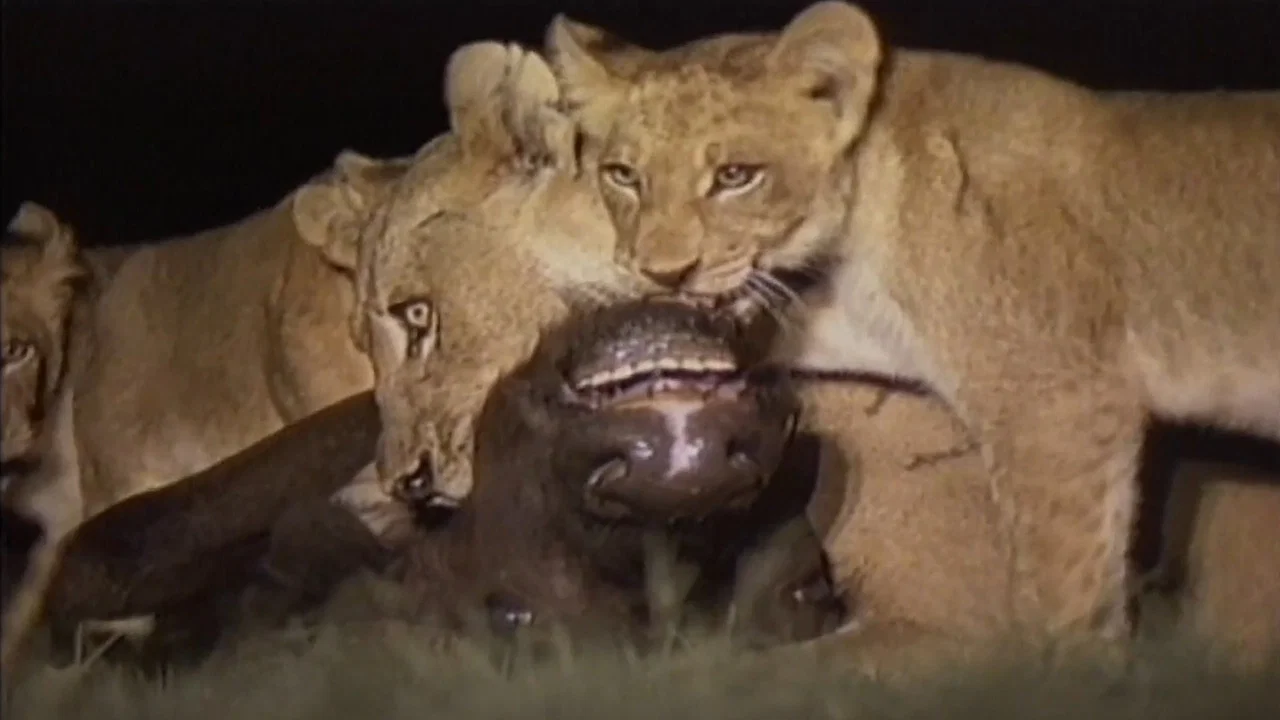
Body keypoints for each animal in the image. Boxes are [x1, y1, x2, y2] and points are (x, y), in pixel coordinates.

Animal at [543, 0, 1280, 652]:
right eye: (623, 175)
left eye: (735, 176)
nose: (664, 273)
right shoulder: (867, 324)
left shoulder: (1058, 402)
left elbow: (1063, 588)